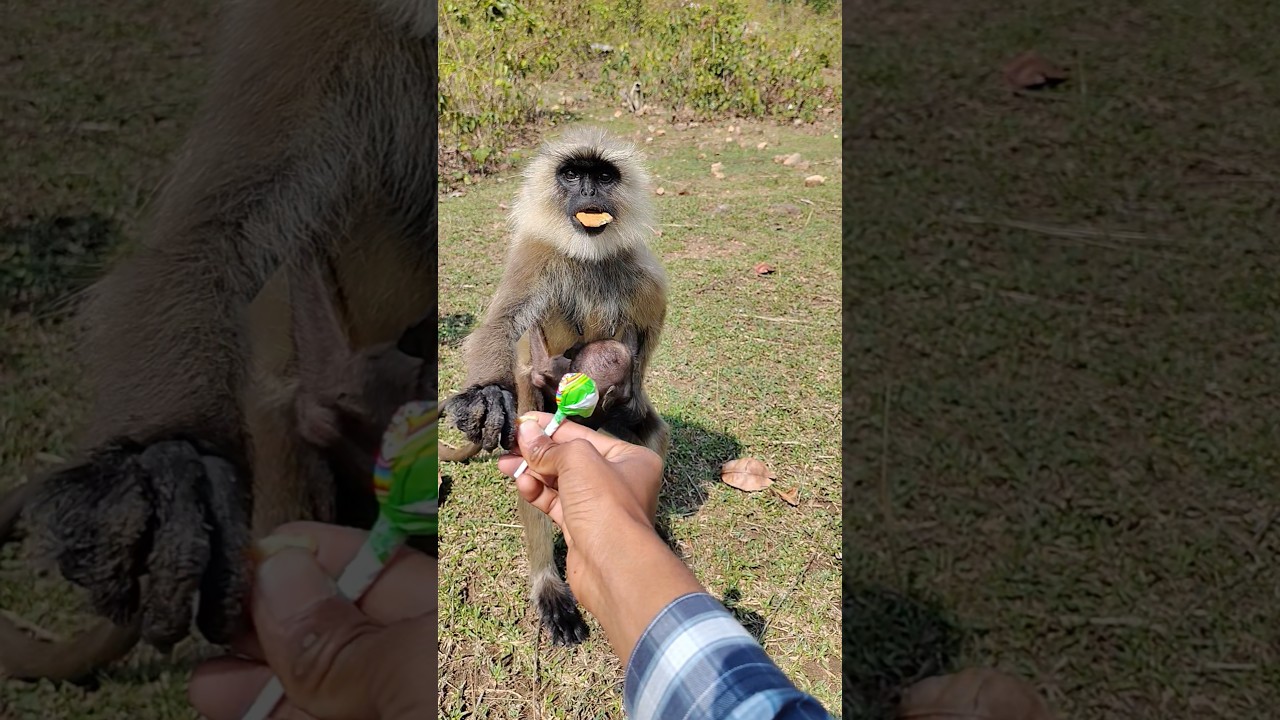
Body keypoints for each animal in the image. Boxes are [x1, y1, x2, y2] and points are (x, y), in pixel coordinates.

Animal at [442, 127, 669, 646]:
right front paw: (486, 393)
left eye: (601, 176)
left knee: (652, 433)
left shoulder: (637, 266)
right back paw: (548, 584)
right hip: (534, 401)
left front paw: (629, 391)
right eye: (572, 174)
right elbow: (500, 326)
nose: (587, 191)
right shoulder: (535, 253)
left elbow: (650, 324)